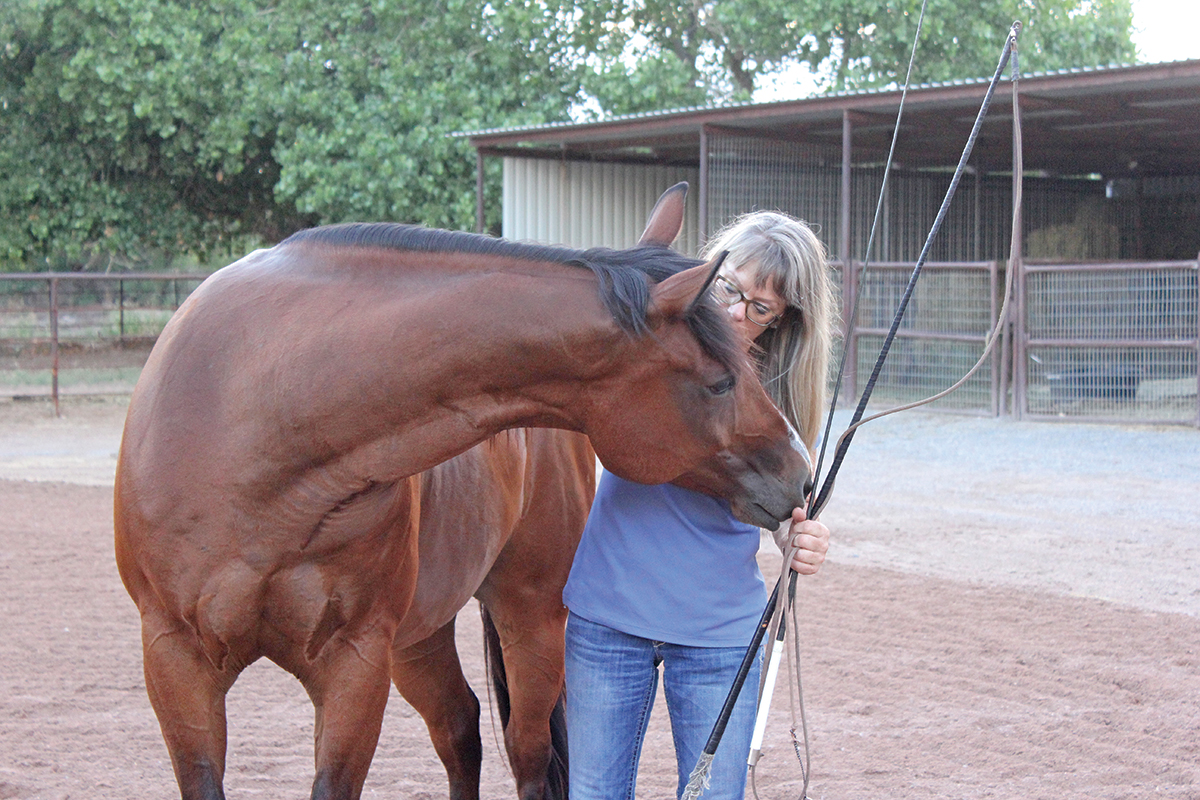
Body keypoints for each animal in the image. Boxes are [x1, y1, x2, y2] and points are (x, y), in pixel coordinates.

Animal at [117, 184, 811, 796]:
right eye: (720, 381)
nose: (800, 472)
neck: (260, 418)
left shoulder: (353, 664)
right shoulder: (175, 660)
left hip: (528, 618)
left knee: (527, 754)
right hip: (419, 636)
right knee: (459, 728)